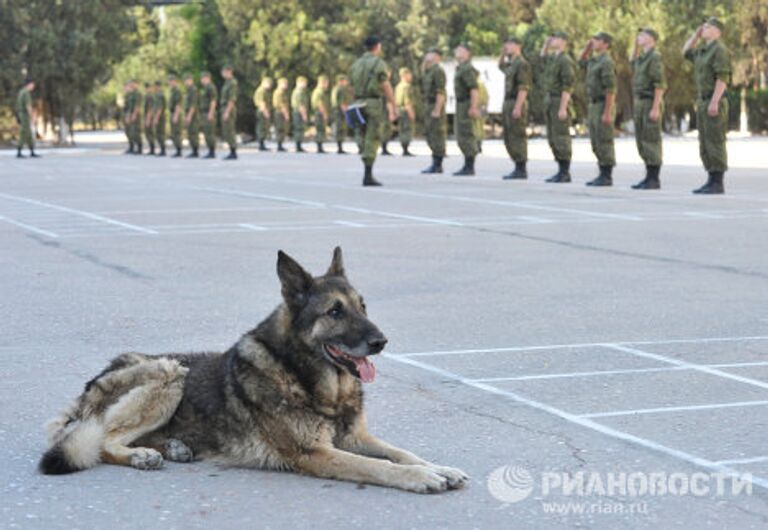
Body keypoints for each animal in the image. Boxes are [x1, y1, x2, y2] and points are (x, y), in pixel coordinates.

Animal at [40, 246, 468, 490]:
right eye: (335, 312)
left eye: (363, 307)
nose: (381, 342)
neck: (305, 378)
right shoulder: (315, 453)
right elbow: (378, 467)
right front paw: (420, 478)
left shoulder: (356, 437)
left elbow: (402, 453)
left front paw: (439, 468)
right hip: (169, 372)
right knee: (102, 439)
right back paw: (139, 455)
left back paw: (173, 447)